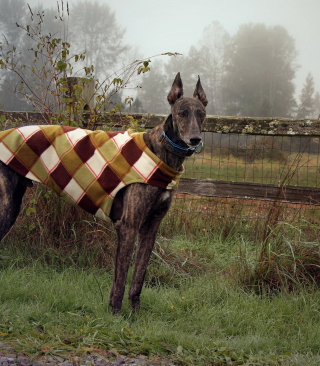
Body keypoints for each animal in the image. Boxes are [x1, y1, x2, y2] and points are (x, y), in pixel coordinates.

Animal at [0, 73, 208, 314]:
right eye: (182, 113)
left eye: (201, 113)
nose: (195, 139)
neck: (161, 151)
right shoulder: (128, 226)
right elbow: (120, 278)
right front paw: (116, 314)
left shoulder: (151, 226)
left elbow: (138, 277)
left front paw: (135, 315)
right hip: (7, 207)